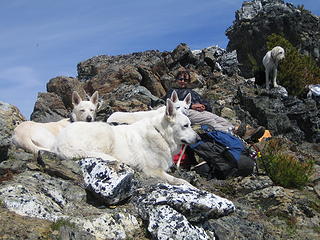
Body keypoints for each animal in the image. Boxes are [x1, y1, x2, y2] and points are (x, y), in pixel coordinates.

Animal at [51, 98, 199, 185]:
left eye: (190, 124)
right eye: (186, 125)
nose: (199, 139)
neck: (160, 134)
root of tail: (60, 143)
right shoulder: (153, 170)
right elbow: (180, 180)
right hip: (106, 132)